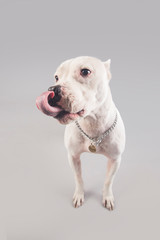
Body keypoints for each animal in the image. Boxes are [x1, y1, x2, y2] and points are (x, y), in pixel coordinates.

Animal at [36, 56, 125, 210]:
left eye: (85, 71)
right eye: (56, 77)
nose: (53, 89)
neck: (92, 124)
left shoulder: (115, 159)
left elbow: (108, 181)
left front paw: (107, 197)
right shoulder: (73, 156)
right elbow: (78, 178)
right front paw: (79, 195)